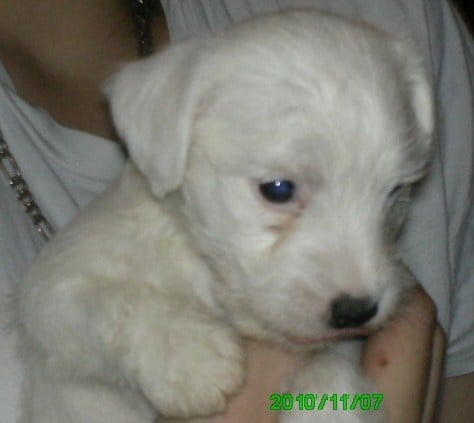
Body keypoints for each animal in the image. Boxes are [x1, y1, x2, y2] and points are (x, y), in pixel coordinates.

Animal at [18, 9, 434, 423]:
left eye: (395, 192)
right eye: (278, 189)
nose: (356, 311)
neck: (208, 277)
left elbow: (331, 360)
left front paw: (330, 407)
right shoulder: (51, 289)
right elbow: (108, 300)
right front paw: (186, 352)